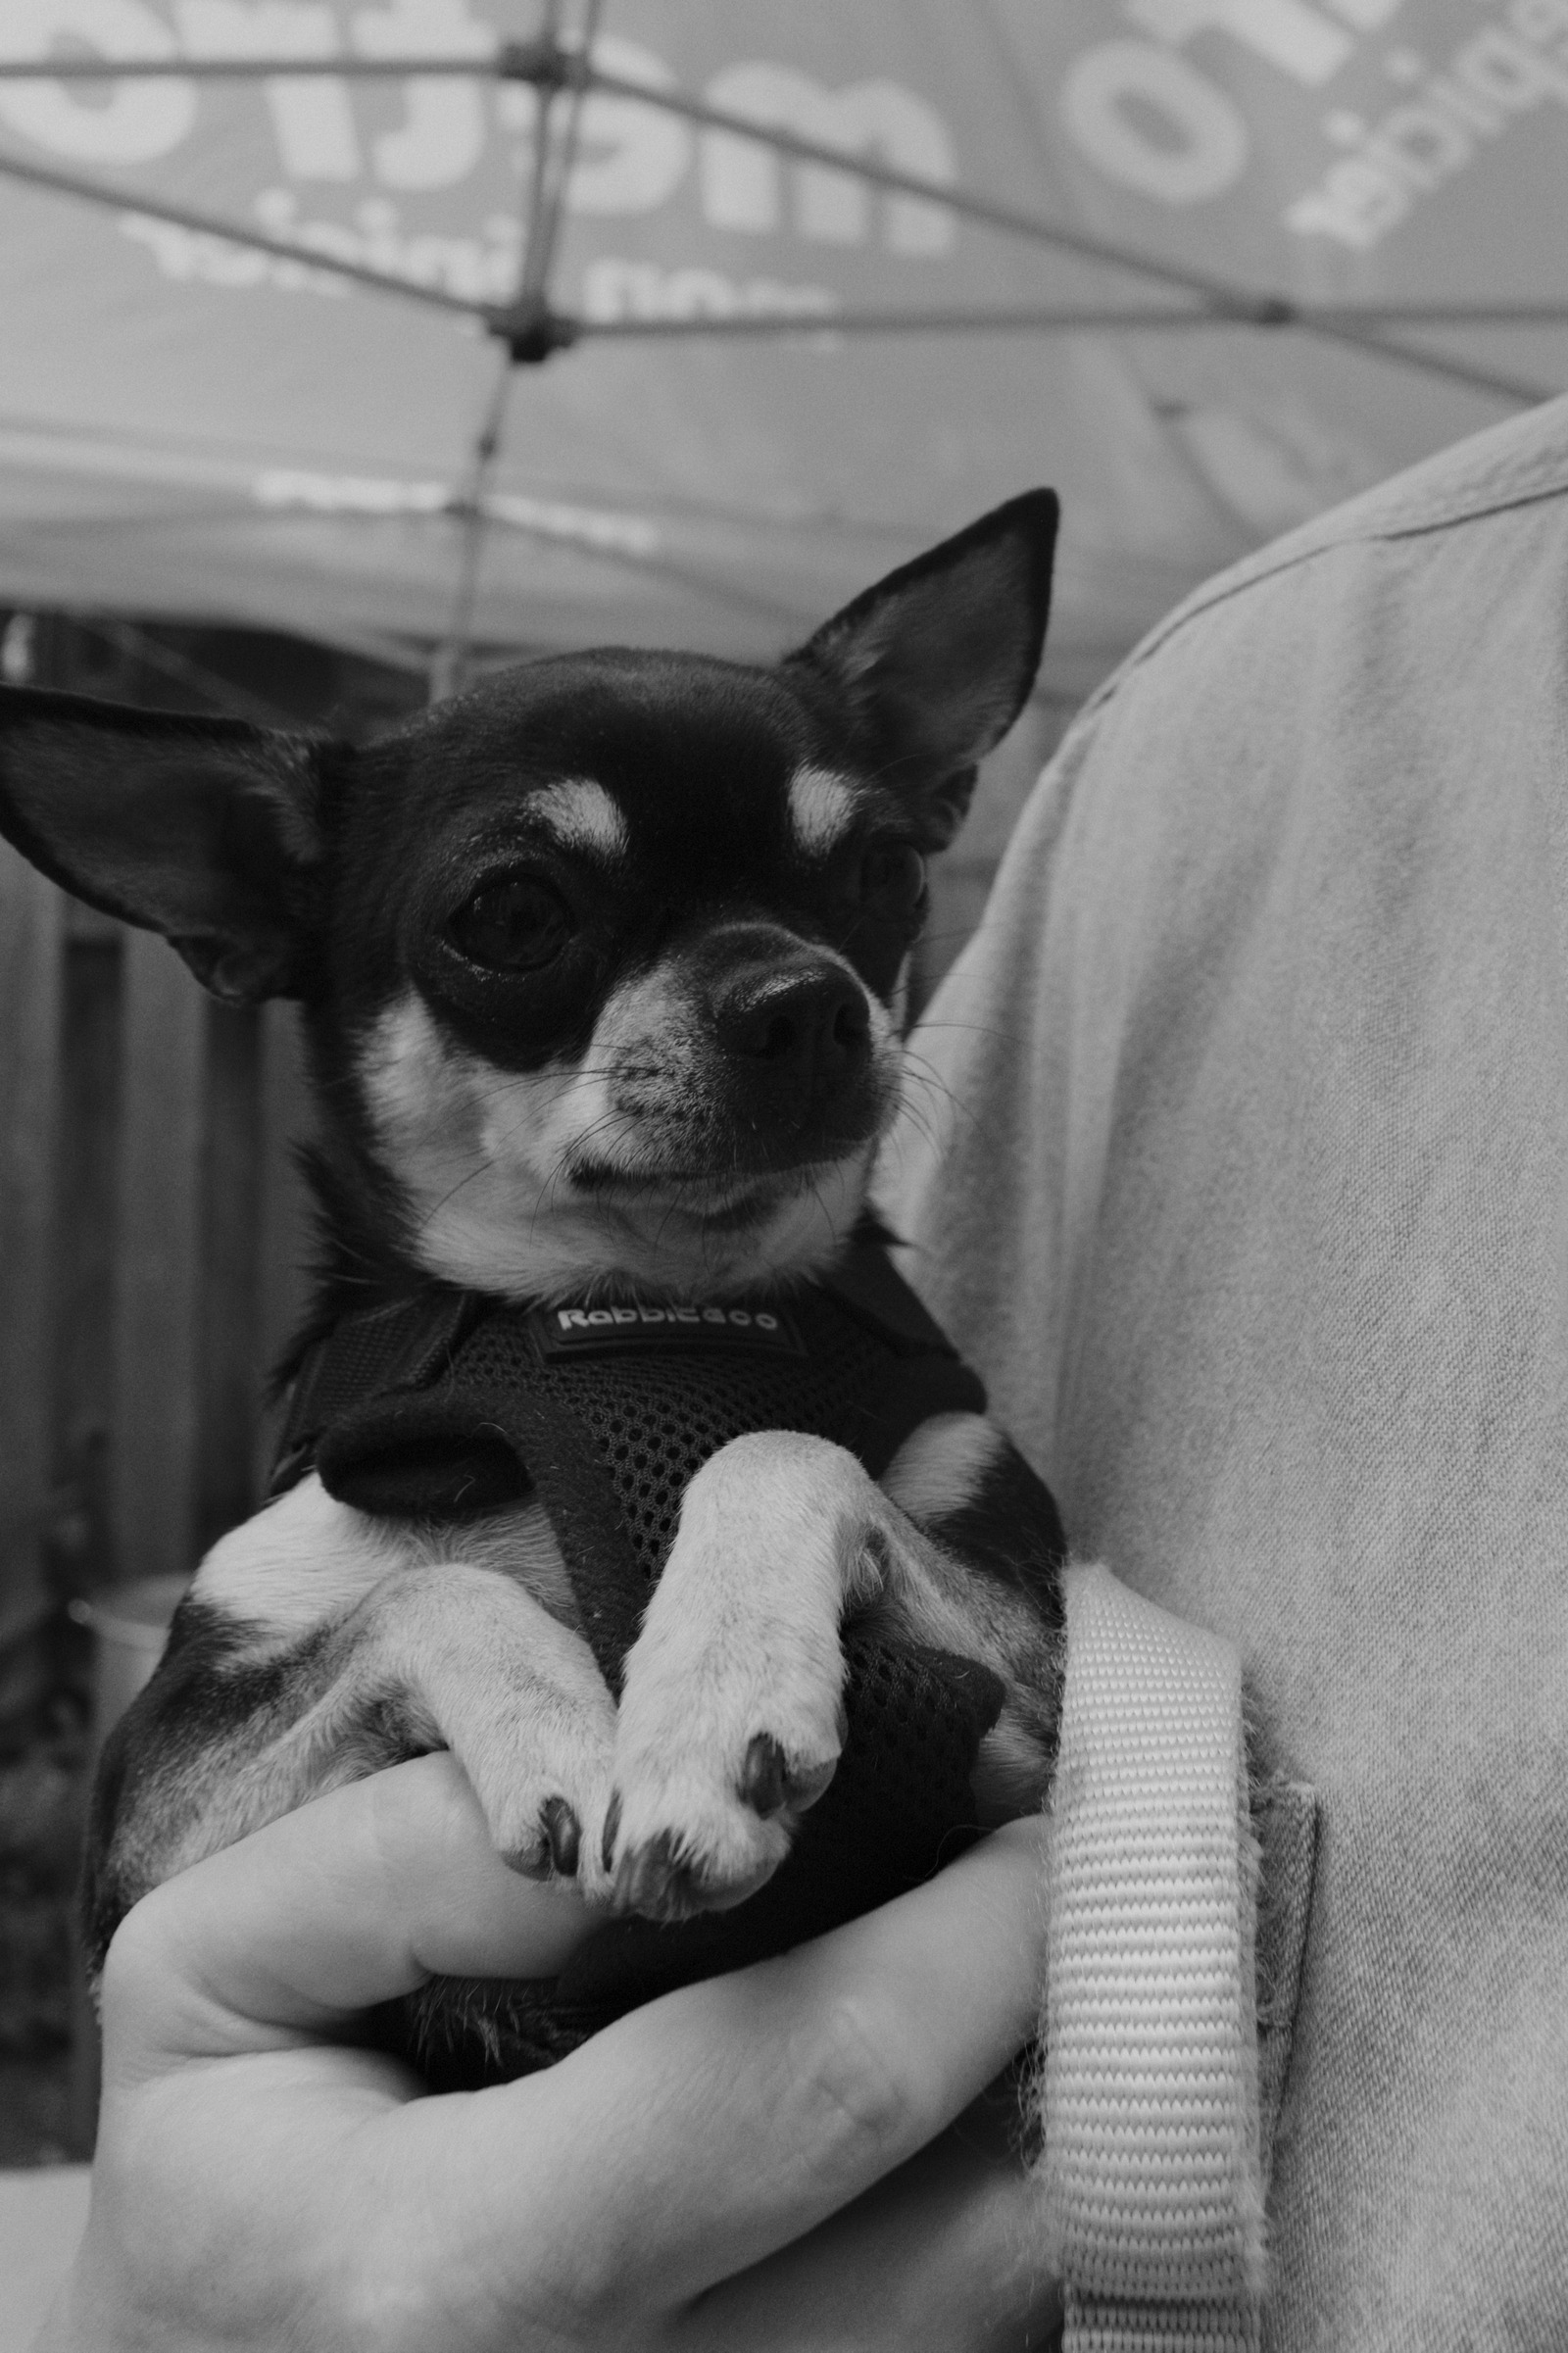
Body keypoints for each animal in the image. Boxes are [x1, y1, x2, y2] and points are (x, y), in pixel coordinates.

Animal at [0, 491, 1067, 2068]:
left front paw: (704, 1705)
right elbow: (421, 1589)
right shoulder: (140, 1839)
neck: (643, 1306)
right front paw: (570, 1724)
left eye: (885, 872)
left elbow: (779, 1443)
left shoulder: (1037, 1690)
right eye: (511, 916)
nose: (806, 998)